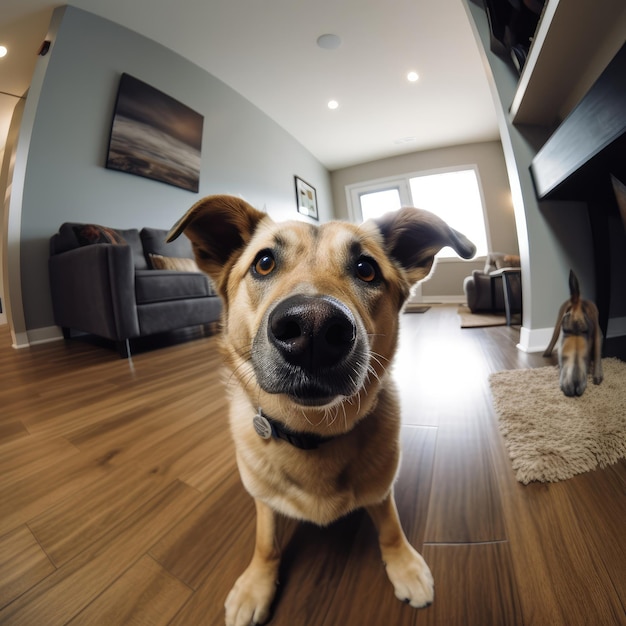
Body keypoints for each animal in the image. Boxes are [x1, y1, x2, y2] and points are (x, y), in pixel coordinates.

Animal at [166, 195, 472, 624]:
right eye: (264, 262)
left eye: (366, 269)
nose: (313, 329)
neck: (311, 431)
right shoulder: (263, 500)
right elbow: (265, 540)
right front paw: (256, 583)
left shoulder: (381, 490)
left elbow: (390, 526)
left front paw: (404, 565)